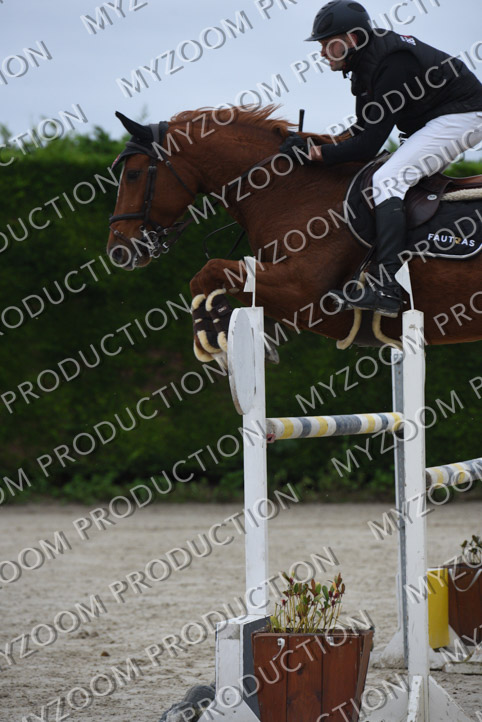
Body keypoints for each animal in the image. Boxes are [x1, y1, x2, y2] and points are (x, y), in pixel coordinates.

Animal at [107, 105, 482, 363]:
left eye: (134, 174)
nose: (118, 249)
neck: (293, 191)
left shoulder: (304, 293)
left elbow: (208, 272)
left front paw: (216, 339)